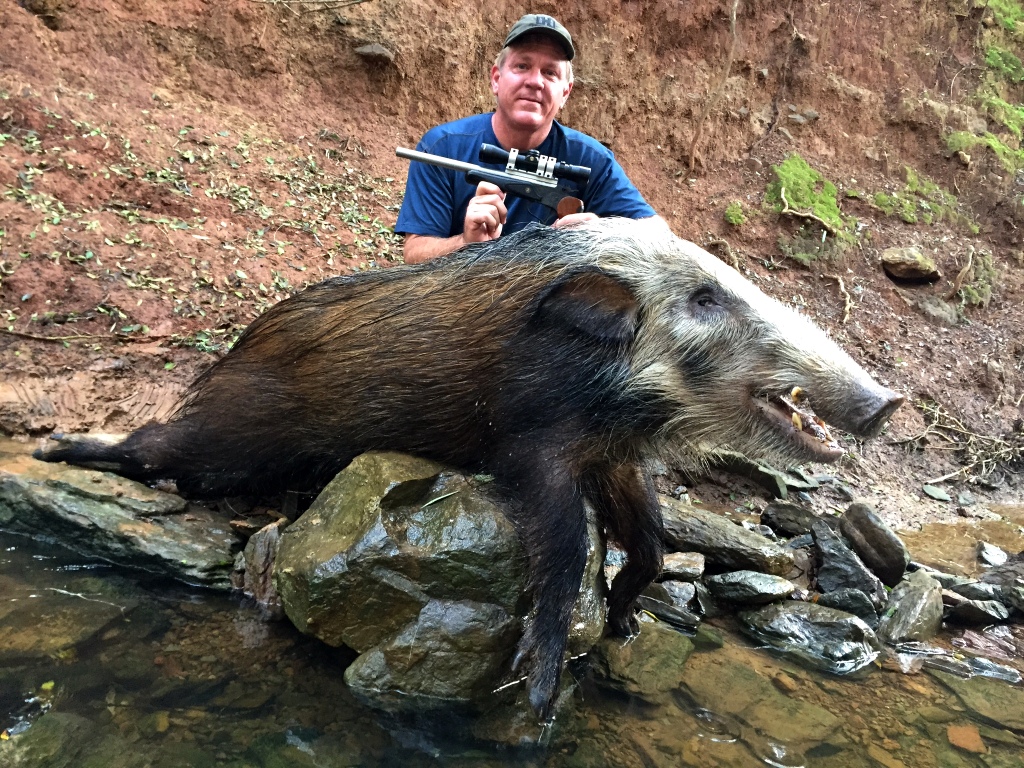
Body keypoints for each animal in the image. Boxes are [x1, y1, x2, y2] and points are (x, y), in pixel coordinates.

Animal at [35, 218, 904, 719]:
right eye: (705, 298)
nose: (887, 401)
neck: (618, 393)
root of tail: (237, 346)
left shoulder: (613, 456)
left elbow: (651, 542)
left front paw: (625, 621)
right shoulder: (529, 446)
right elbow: (567, 548)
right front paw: (541, 697)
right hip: (230, 435)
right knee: (154, 446)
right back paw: (58, 450)